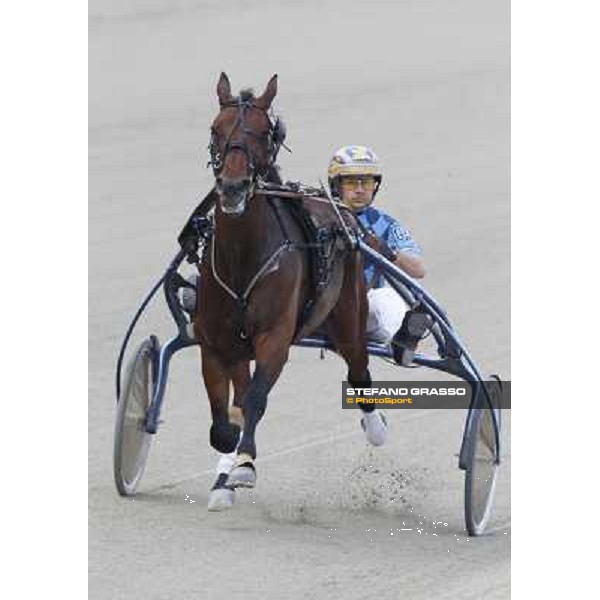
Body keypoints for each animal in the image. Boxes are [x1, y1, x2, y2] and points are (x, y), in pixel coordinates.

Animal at [195, 72, 382, 506]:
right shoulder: (213, 343)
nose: (232, 187)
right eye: (215, 129)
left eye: (265, 133)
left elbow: (254, 400)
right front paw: (228, 459)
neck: (242, 257)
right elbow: (222, 421)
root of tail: (343, 213)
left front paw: (244, 464)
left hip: (349, 317)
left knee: (360, 370)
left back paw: (376, 428)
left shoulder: (275, 337)